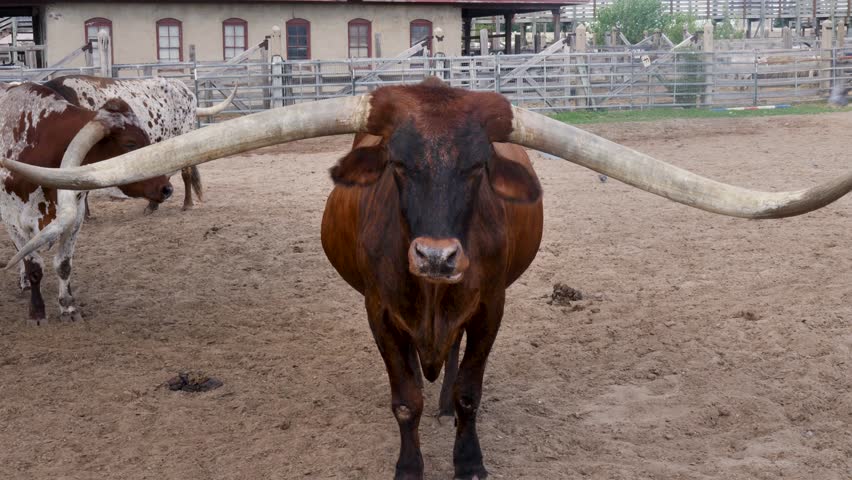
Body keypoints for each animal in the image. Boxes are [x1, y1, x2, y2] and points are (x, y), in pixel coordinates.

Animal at [0, 82, 172, 324]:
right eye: (130, 144)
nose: (167, 189)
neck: (37, 142)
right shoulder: (12, 220)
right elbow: (33, 264)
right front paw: (37, 312)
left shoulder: (75, 216)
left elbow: (63, 264)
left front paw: (68, 306)